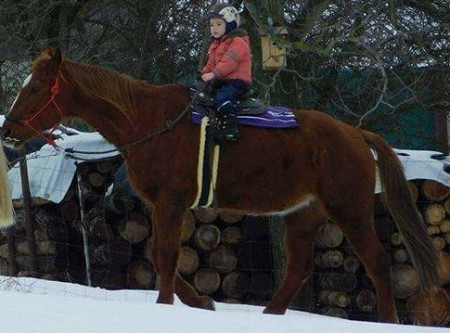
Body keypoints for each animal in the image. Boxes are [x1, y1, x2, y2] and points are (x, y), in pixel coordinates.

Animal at [0, 47, 440, 322]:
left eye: (35, 88)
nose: (8, 131)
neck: (150, 121)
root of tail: (356, 134)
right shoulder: (160, 206)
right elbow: (160, 256)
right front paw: (200, 301)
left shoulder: (172, 203)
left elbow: (165, 256)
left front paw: (167, 304)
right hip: (303, 214)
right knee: (298, 268)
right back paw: (270, 314)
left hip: (350, 209)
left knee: (378, 262)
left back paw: (387, 319)